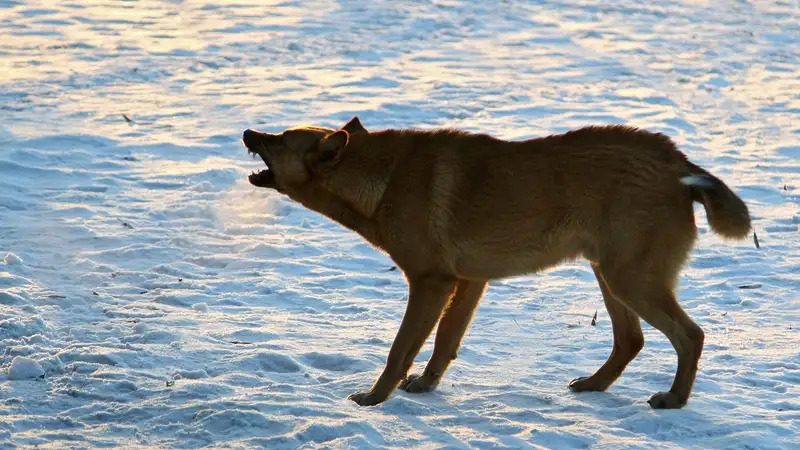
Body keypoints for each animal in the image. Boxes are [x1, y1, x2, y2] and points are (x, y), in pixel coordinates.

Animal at [242, 118, 752, 410]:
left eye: (279, 140)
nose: (246, 132)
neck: (380, 180)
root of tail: (678, 164)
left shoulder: (430, 281)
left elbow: (400, 349)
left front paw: (374, 398)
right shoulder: (468, 280)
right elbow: (445, 342)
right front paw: (425, 387)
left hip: (631, 278)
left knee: (690, 335)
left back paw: (675, 399)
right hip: (610, 274)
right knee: (631, 340)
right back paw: (594, 384)